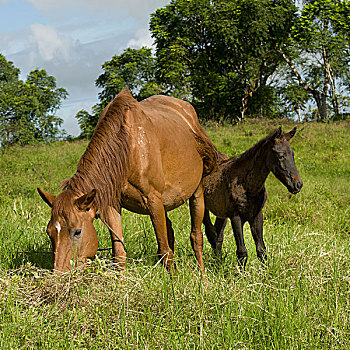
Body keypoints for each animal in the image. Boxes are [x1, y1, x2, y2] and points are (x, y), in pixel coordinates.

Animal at [37, 89, 216, 272]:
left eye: (77, 231)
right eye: (49, 232)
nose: (60, 274)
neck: (127, 148)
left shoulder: (153, 200)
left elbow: (165, 250)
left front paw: (173, 279)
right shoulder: (112, 205)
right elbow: (119, 254)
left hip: (196, 192)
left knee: (196, 236)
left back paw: (202, 274)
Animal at [204, 127, 302, 266]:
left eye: (292, 154)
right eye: (281, 155)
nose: (297, 185)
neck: (248, 186)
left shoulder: (256, 215)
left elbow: (261, 249)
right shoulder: (236, 216)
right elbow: (242, 252)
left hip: (221, 213)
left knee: (218, 236)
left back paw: (219, 263)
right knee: (209, 233)